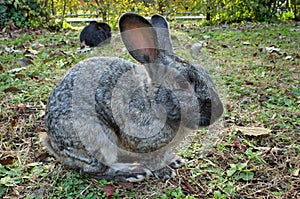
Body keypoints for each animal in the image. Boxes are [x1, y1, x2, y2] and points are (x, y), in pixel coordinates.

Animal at [40, 12, 223, 182]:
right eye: (182, 84)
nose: (219, 111)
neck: (150, 101)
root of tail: (55, 145)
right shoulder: (141, 143)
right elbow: (153, 160)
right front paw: (165, 171)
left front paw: (174, 160)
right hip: (99, 137)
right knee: (96, 169)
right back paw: (134, 172)